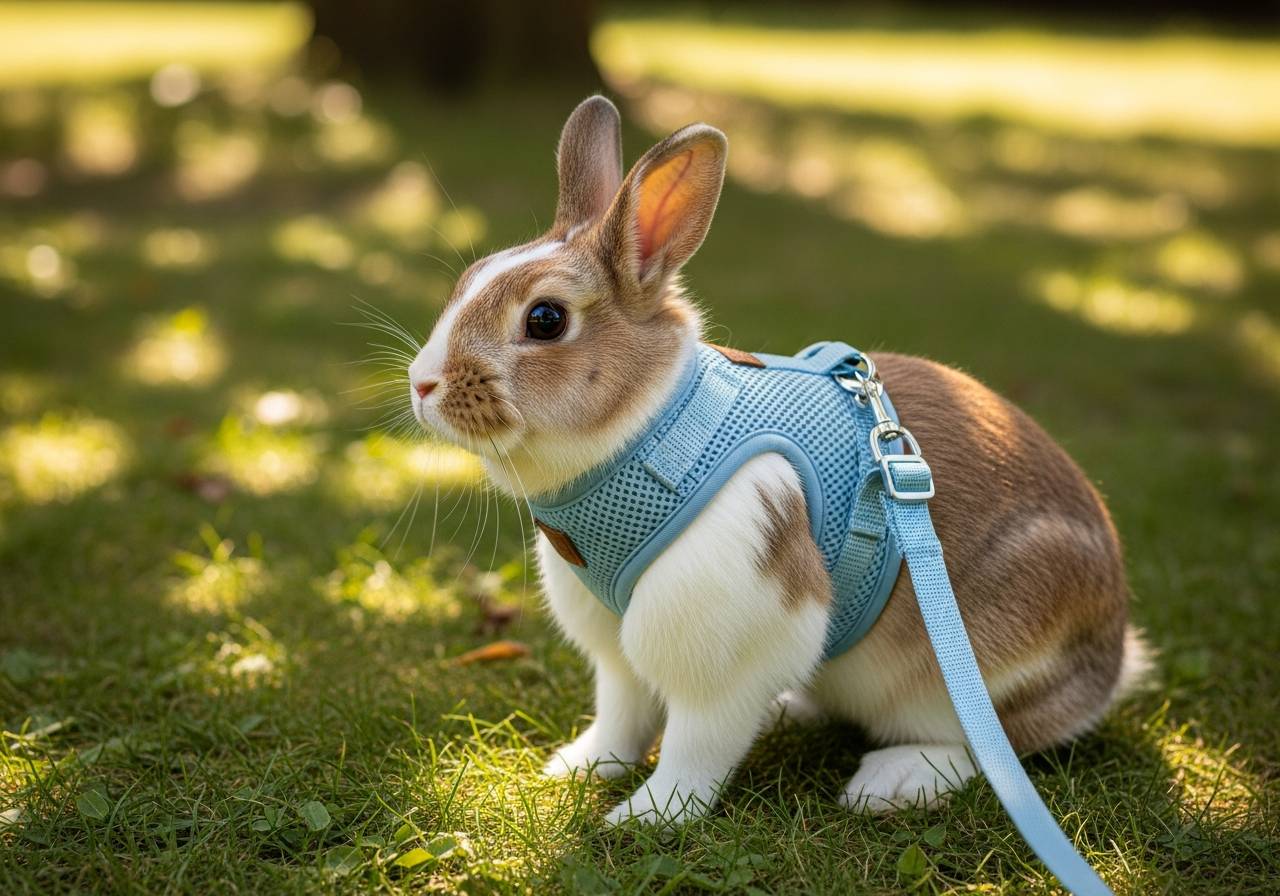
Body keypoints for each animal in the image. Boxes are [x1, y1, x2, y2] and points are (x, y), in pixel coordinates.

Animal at [406, 95, 1149, 825]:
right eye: (468, 280)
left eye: (545, 320)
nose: (422, 383)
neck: (651, 434)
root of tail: (1110, 663)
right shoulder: (615, 645)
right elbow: (622, 713)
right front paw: (581, 767)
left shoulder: (731, 631)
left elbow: (698, 740)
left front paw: (648, 815)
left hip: (975, 663)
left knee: (993, 744)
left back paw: (892, 781)